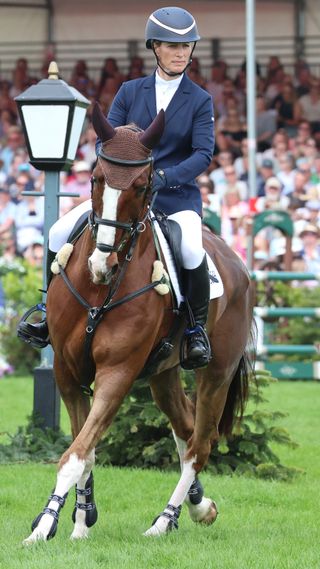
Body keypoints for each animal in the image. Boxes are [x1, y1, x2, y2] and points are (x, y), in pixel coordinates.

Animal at [23, 102, 255, 540]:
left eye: (144, 184)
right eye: (96, 178)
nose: (102, 264)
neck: (100, 290)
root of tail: (239, 264)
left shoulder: (117, 372)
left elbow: (76, 453)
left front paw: (44, 526)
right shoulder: (67, 370)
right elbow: (86, 449)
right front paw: (81, 521)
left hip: (216, 373)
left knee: (200, 445)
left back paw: (164, 521)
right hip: (162, 375)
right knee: (185, 431)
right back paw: (198, 508)